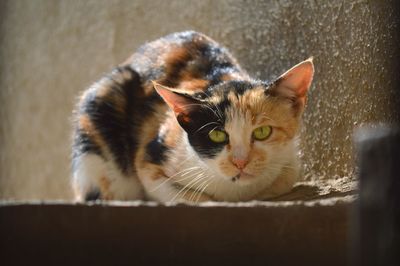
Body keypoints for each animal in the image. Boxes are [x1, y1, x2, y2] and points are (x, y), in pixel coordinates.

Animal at [73, 30, 314, 202]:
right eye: (217, 135)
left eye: (263, 132)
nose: (240, 162)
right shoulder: (150, 162)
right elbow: (190, 197)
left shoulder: (291, 163)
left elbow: (282, 180)